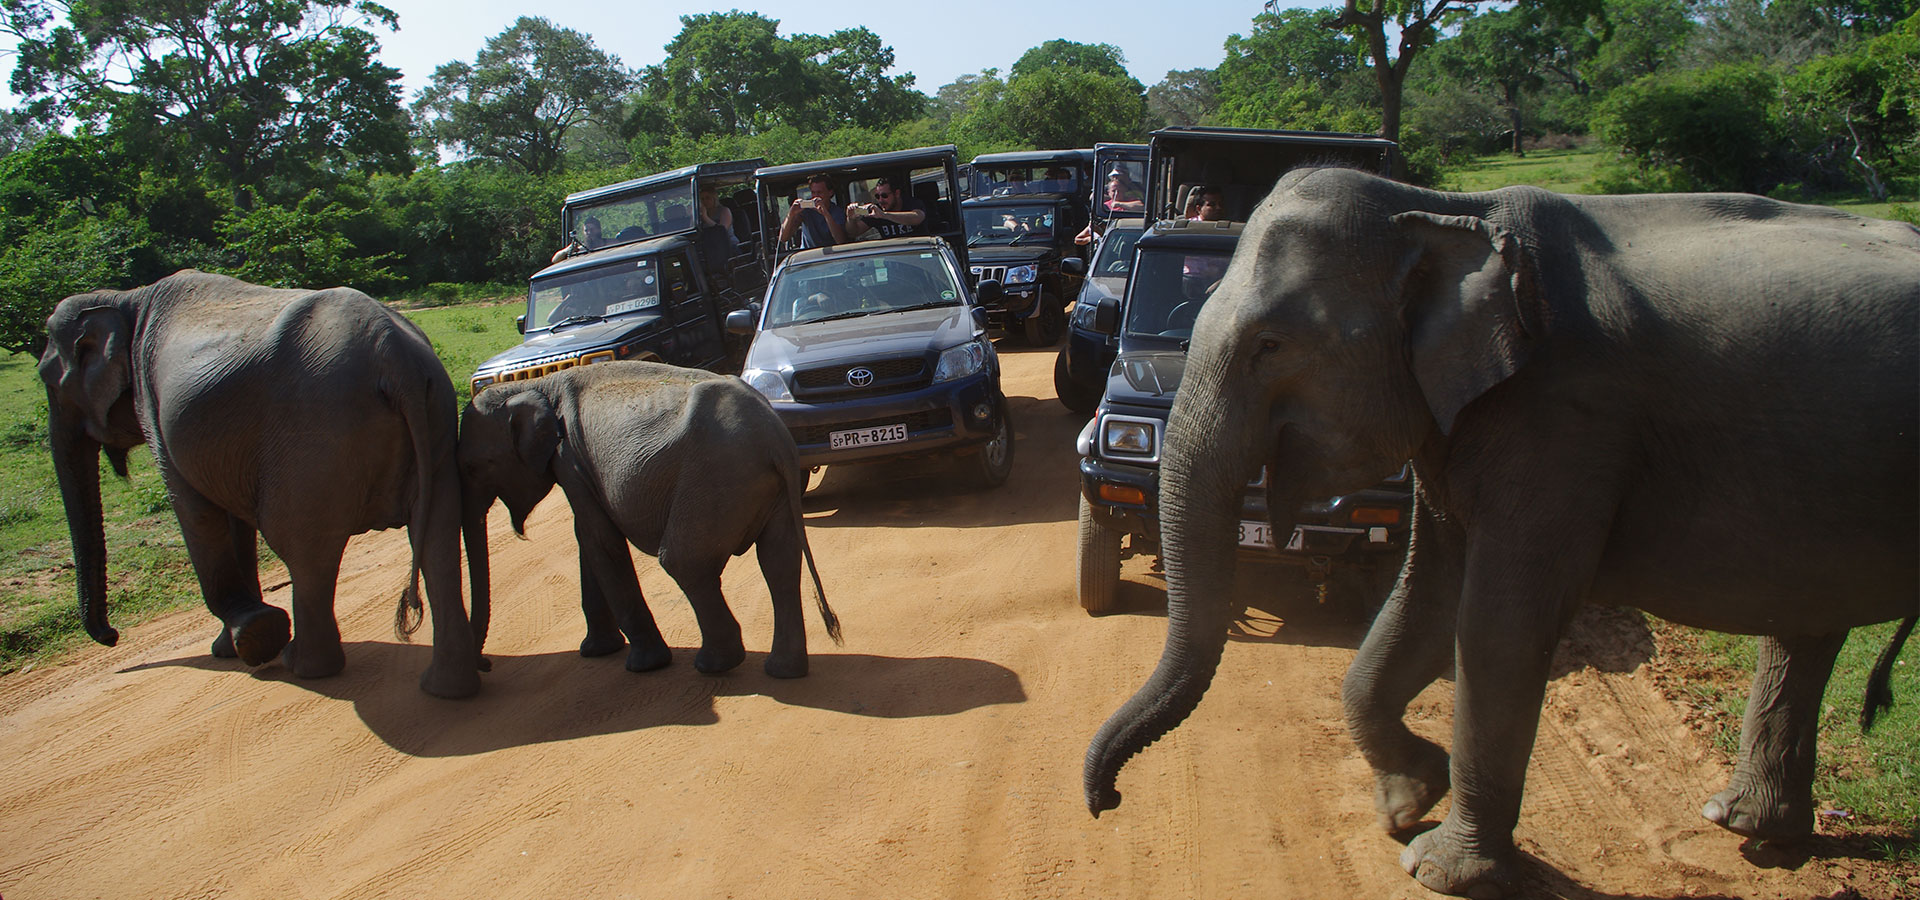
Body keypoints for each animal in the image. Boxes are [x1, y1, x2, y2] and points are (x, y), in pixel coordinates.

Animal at [42, 270, 483, 698]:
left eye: (47, 377)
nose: (111, 636)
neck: (124, 299)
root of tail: (394, 358)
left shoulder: (157, 410)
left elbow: (195, 512)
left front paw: (251, 637)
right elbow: (233, 523)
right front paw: (231, 648)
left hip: (316, 434)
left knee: (303, 547)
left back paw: (303, 665)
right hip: (433, 414)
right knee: (437, 536)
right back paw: (446, 689)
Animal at [456, 356, 840, 675]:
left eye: (472, 467)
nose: (485, 664)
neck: (534, 387)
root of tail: (775, 436)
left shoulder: (570, 460)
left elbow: (599, 539)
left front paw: (642, 665)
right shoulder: (575, 465)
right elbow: (587, 537)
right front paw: (596, 651)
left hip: (713, 482)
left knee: (684, 562)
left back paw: (714, 665)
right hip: (760, 485)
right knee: (778, 561)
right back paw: (783, 671)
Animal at [1090, 165, 1912, 894]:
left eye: (1270, 344)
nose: (1107, 802)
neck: (1446, 211)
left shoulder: (1566, 418)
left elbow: (1496, 623)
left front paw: (1437, 868)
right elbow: (1425, 598)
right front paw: (1410, 800)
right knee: (1807, 627)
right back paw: (1748, 827)